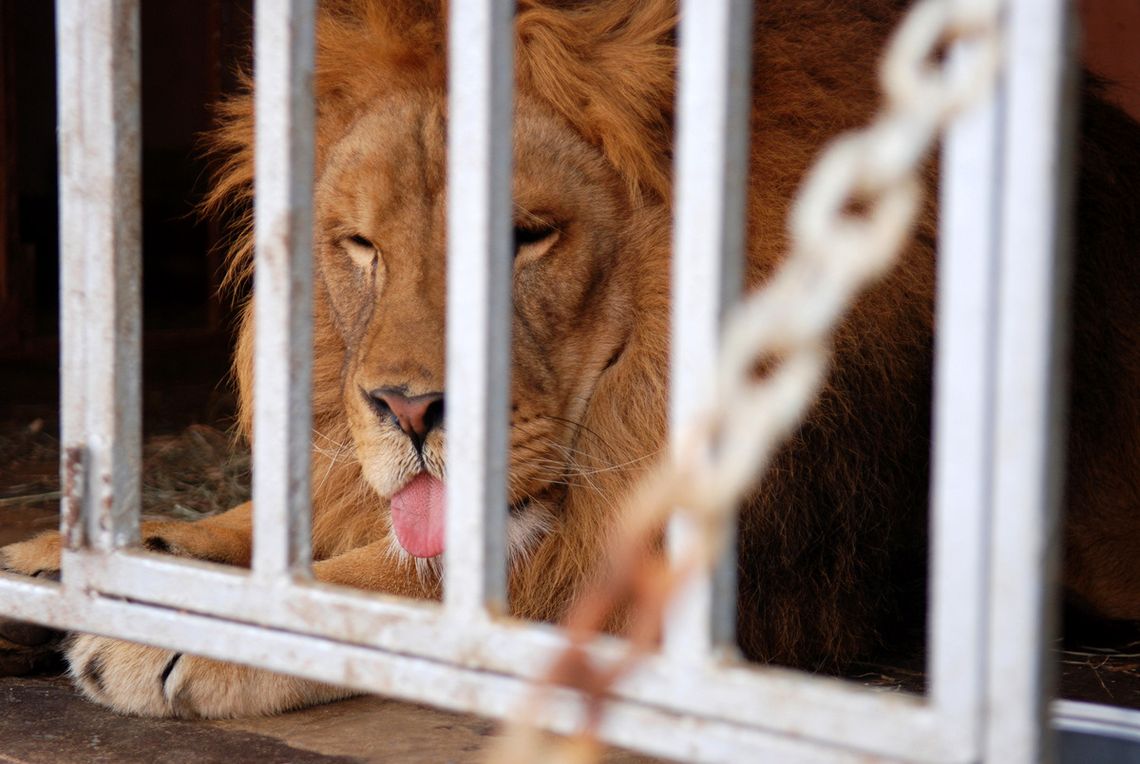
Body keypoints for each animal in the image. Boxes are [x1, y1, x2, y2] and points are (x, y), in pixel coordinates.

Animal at [2, 0, 1140, 720]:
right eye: (362, 245)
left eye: (526, 237)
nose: (405, 410)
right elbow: (279, 526)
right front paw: (69, 558)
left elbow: (404, 587)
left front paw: (173, 627)